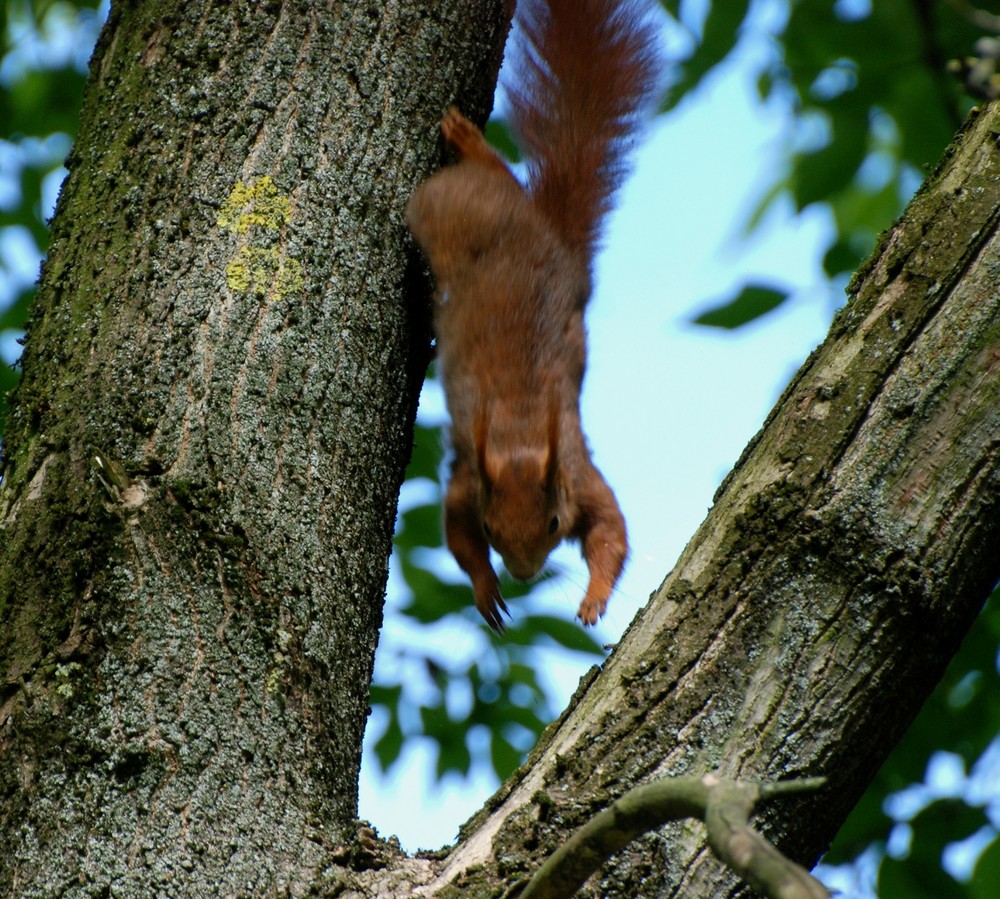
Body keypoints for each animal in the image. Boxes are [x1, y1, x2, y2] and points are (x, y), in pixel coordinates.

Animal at [402, 0, 660, 632]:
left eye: (551, 524)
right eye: (492, 527)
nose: (521, 576)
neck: (517, 431)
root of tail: (549, 238)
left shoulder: (576, 469)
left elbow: (612, 532)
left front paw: (594, 600)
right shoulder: (467, 482)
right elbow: (456, 535)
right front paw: (486, 590)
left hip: (457, 207)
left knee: (498, 178)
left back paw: (472, 143)